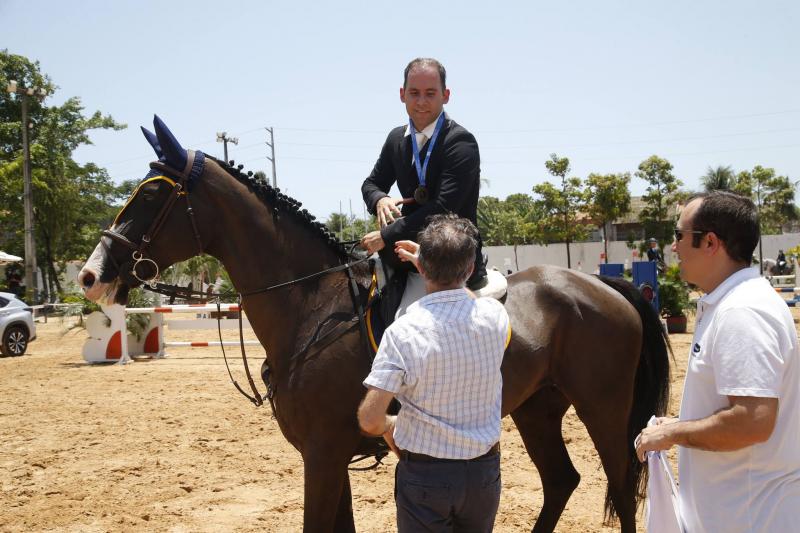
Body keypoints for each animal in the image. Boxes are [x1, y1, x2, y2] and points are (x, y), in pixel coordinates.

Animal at [78, 116, 670, 532]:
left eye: (153, 193)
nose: (90, 274)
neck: (311, 305)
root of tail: (604, 286)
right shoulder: (328, 456)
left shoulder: (322, 455)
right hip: (537, 408)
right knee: (562, 482)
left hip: (602, 407)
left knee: (621, 487)